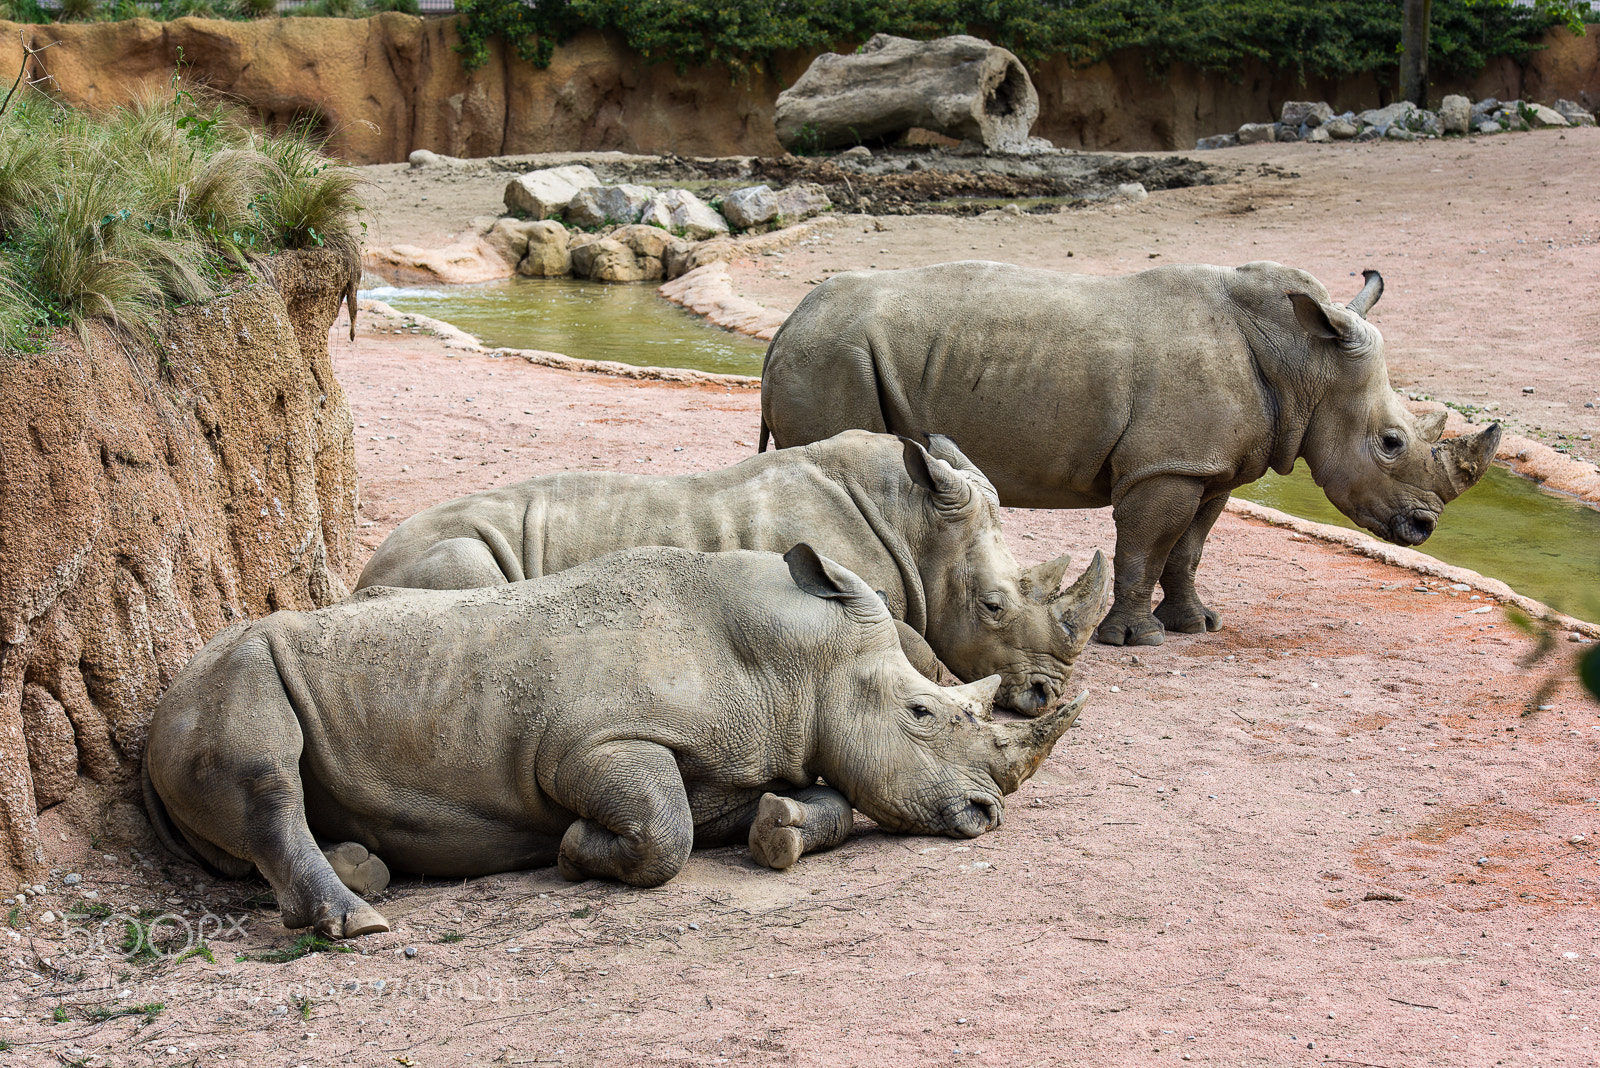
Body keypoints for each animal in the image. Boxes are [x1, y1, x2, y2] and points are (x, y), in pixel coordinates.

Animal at [143, 544, 1085, 937]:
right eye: (923, 715)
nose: (987, 814)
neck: (796, 661)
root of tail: (154, 714)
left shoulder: (752, 752)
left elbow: (819, 799)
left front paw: (778, 832)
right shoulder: (595, 745)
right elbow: (663, 832)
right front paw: (571, 850)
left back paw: (364, 872)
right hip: (228, 674)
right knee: (268, 773)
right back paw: (359, 921)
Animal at [354, 430, 1108, 715]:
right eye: (993, 606)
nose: (1047, 695)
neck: (914, 523)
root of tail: (364, 570)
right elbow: (914, 645)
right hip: (443, 551)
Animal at [759, 261, 1502, 646]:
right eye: (1391, 443)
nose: (1423, 528)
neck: (1305, 360)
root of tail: (785, 325)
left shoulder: (1208, 468)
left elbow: (1188, 549)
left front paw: (1196, 626)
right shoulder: (1165, 467)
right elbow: (1144, 547)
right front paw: (1134, 639)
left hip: (832, 352)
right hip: (833, 357)